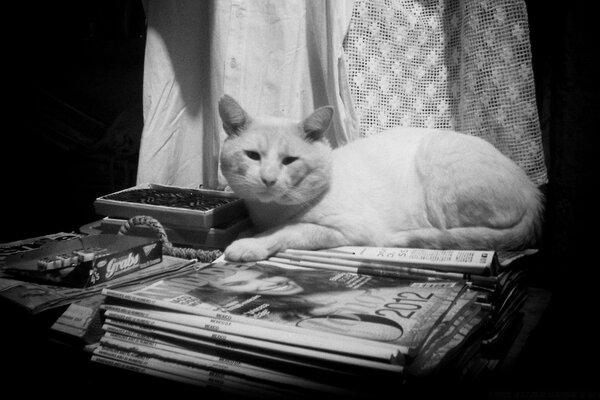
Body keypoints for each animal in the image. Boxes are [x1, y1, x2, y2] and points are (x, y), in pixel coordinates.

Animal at [217, 95, 544, 260]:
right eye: (253, 156)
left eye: (289, 161)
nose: (268, 179)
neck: (268, 212)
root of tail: (534, 192)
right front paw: (246, 233)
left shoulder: (349, 229)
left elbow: (288, 230)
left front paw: (249, 244)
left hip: (437, 164)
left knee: (461, 235)